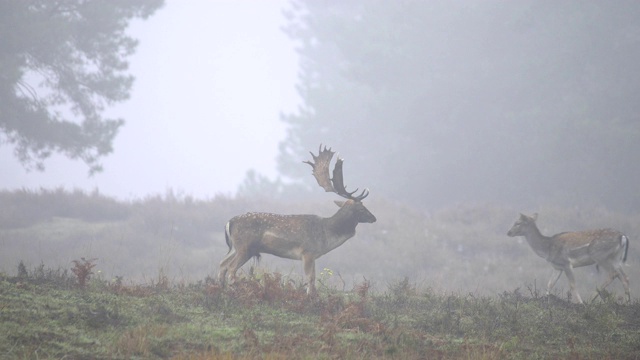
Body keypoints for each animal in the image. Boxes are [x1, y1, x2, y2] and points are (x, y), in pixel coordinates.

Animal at [218, 145, 378, 294]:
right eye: (362, 208)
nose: (374, 218)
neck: (327, 235)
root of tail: (229, 222)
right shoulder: (307, 252)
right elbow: (310, 279)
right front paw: (309, 297)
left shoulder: (312, 255)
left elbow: (312, 279)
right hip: (245, 247)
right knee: (231, 268)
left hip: (235, 247)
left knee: (222, 264)